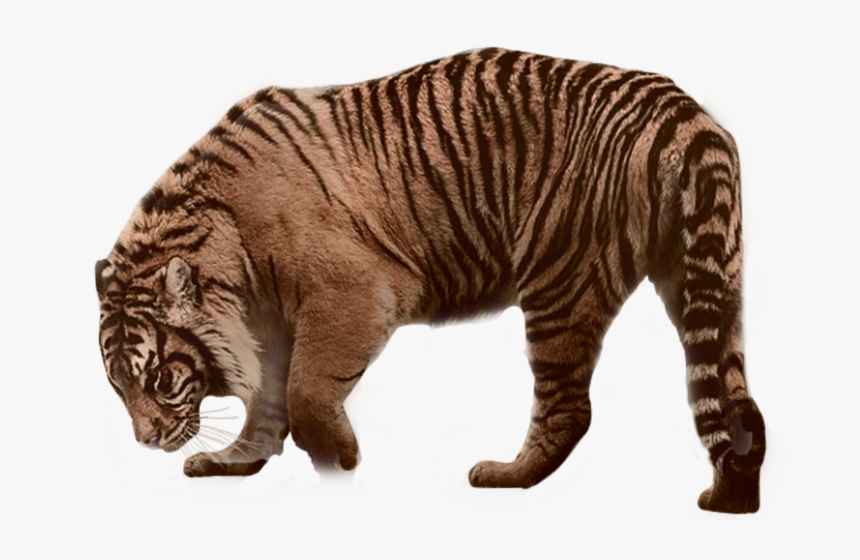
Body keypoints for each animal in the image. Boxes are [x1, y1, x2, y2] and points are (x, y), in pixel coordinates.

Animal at [95, 47, 766, 513]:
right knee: (732, 398)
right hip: (708, 277)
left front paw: (337, 460)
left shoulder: (355, 290)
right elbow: (267, 400)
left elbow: (305, 390)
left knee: (570, 406)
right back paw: (730, 499)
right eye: (116, 385)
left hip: (559, 278)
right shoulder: (267, 329)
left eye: (159, 377)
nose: (147, 442)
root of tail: (680, 109)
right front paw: (235, 460)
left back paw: (504, 476)